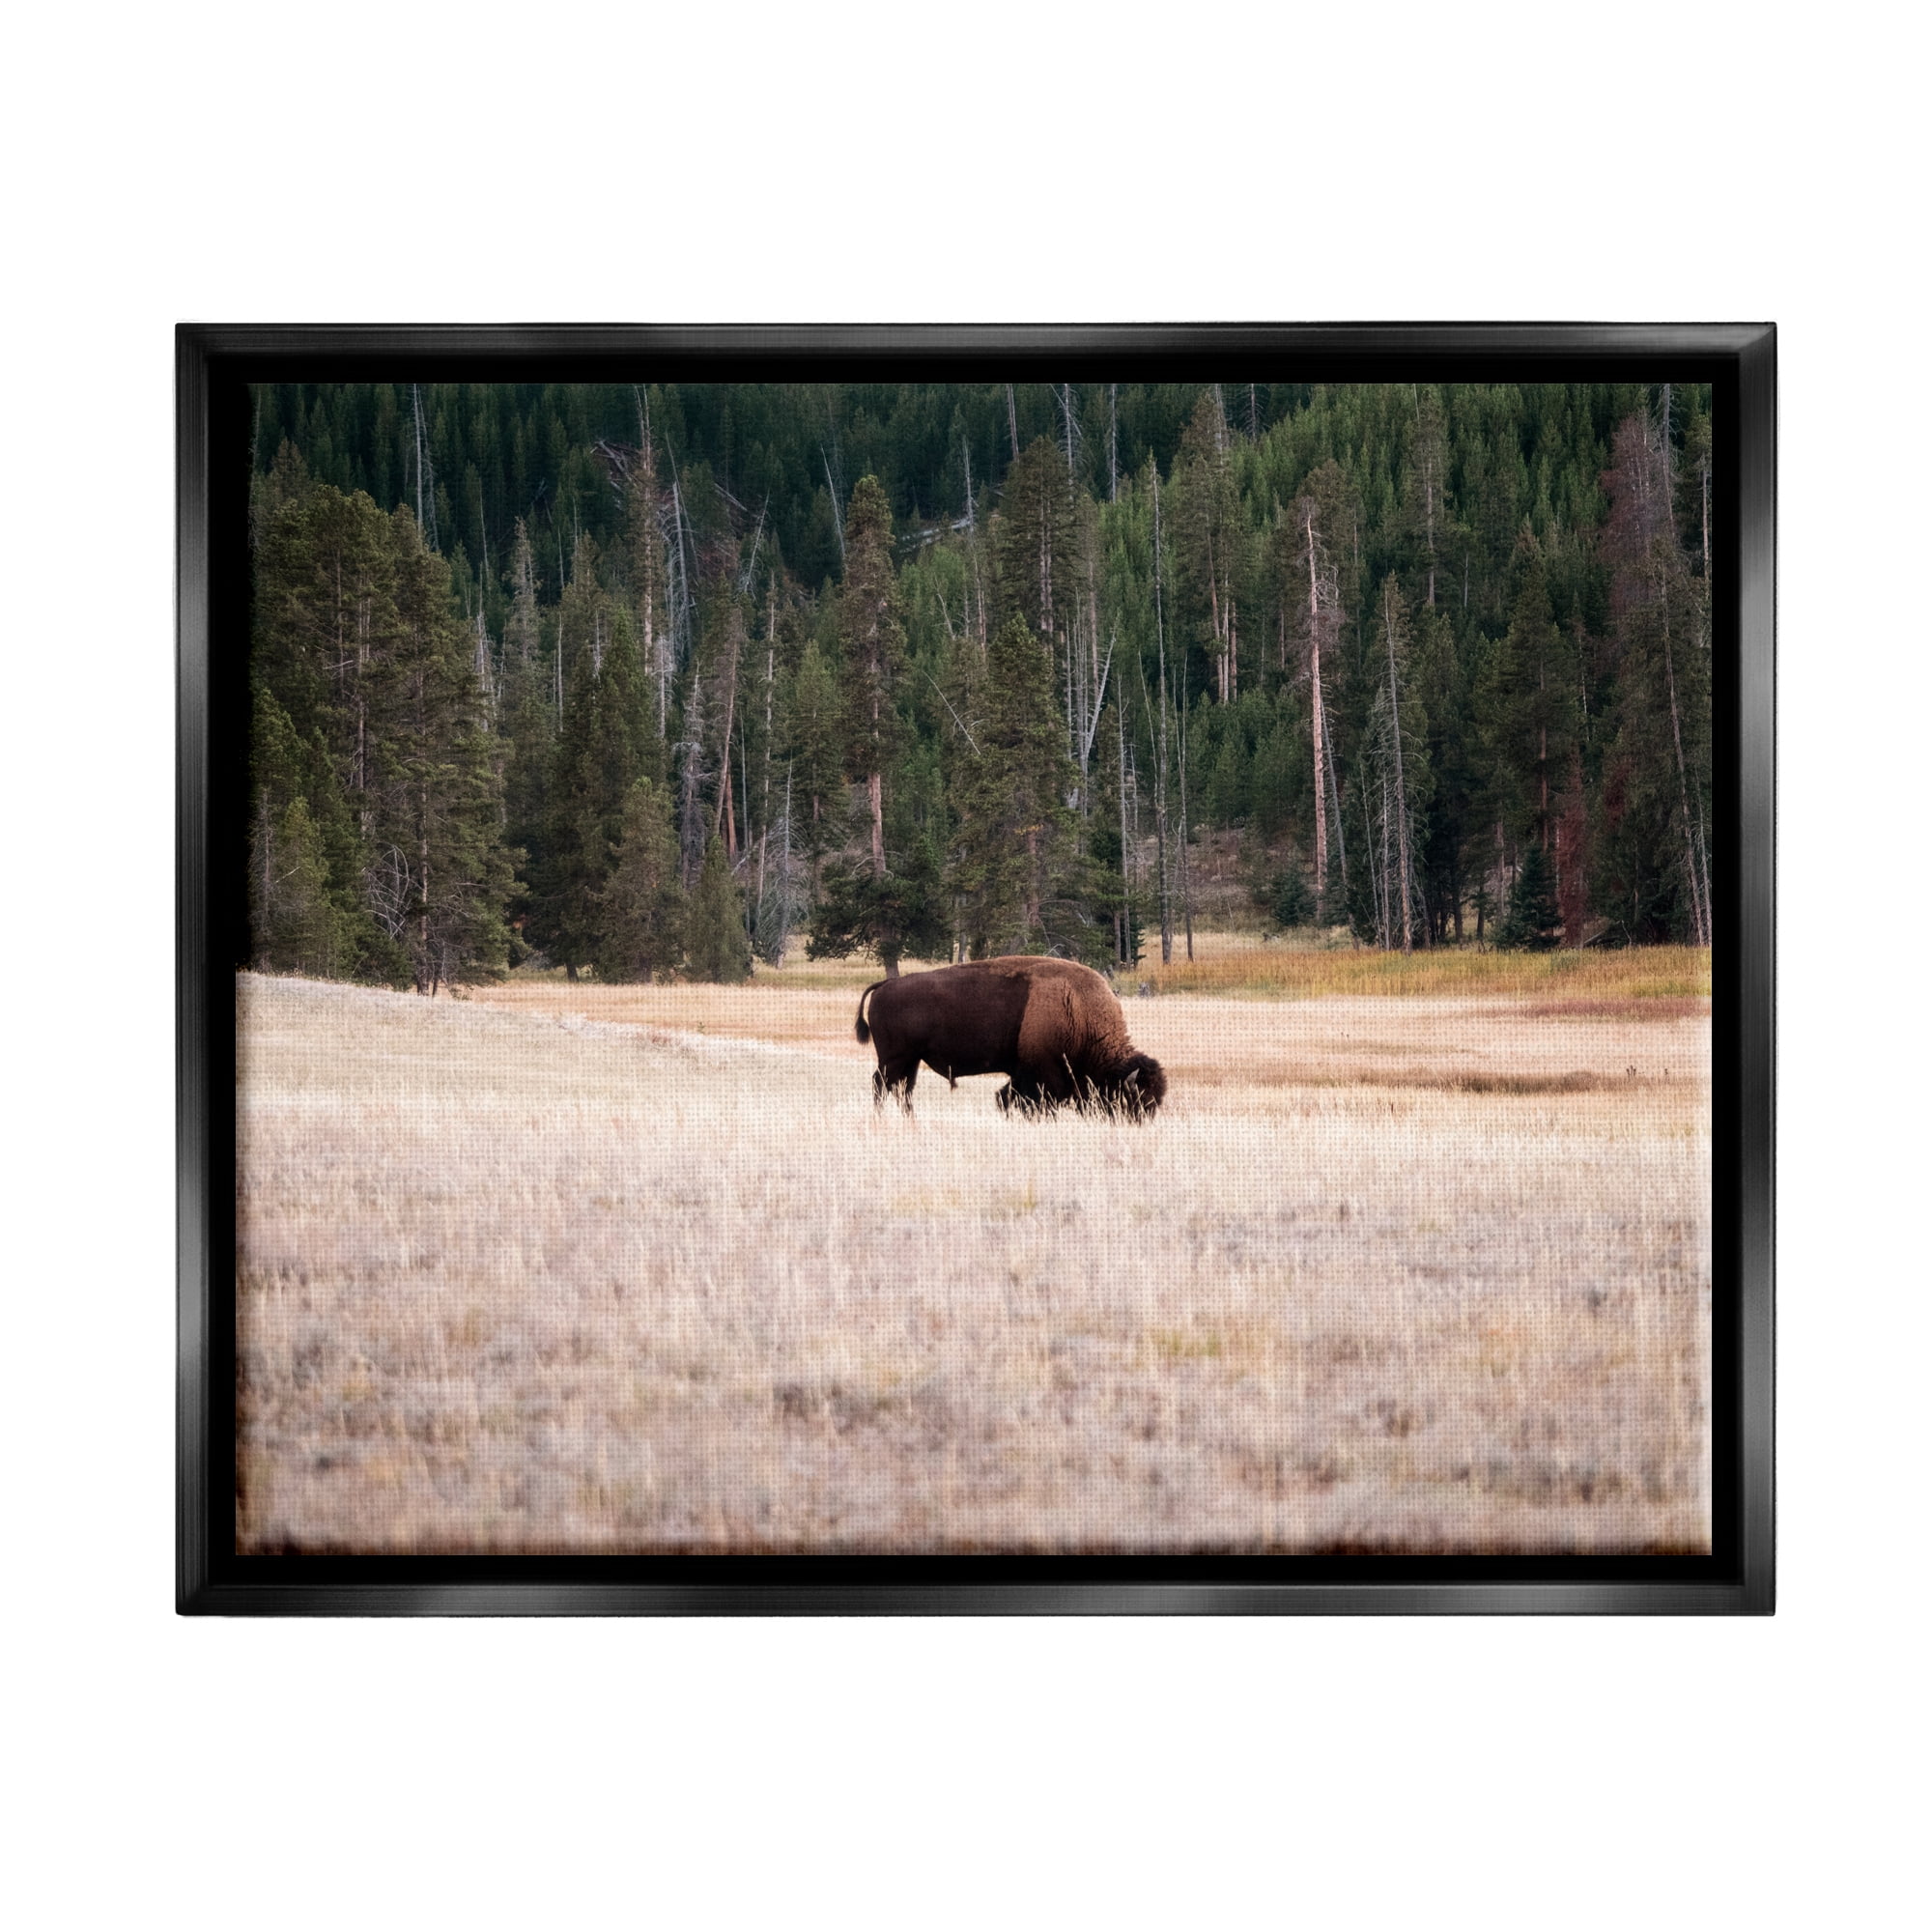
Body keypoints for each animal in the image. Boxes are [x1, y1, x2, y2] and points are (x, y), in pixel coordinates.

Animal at [854, 957, 1167, 1120]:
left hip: (911, 1060)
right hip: (894, 1059)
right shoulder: (1041, 1076)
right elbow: (1026, 1101)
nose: (1139, 1125)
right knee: (881, 1086)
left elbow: (1006, 1097)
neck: (1078, 1009)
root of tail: (887, 984)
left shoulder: (1024, 1075)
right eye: (1135, 1101)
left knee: (903, 1089)